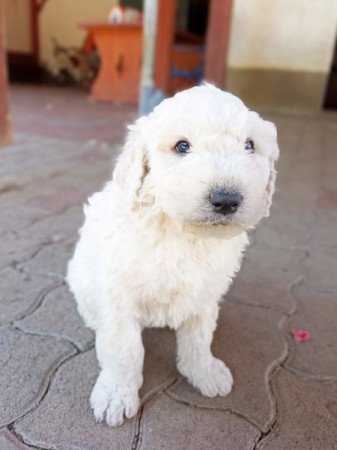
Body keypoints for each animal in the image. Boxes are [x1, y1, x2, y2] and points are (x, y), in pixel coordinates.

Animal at [66, 84, 278, 426]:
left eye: (250, 145)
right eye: (182, 146)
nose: (226, 199)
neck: (182, 232)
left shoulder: (204, 293)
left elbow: (199, 337)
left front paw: (204, 371)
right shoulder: (119, 296)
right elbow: (124, 350)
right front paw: (116, 394)